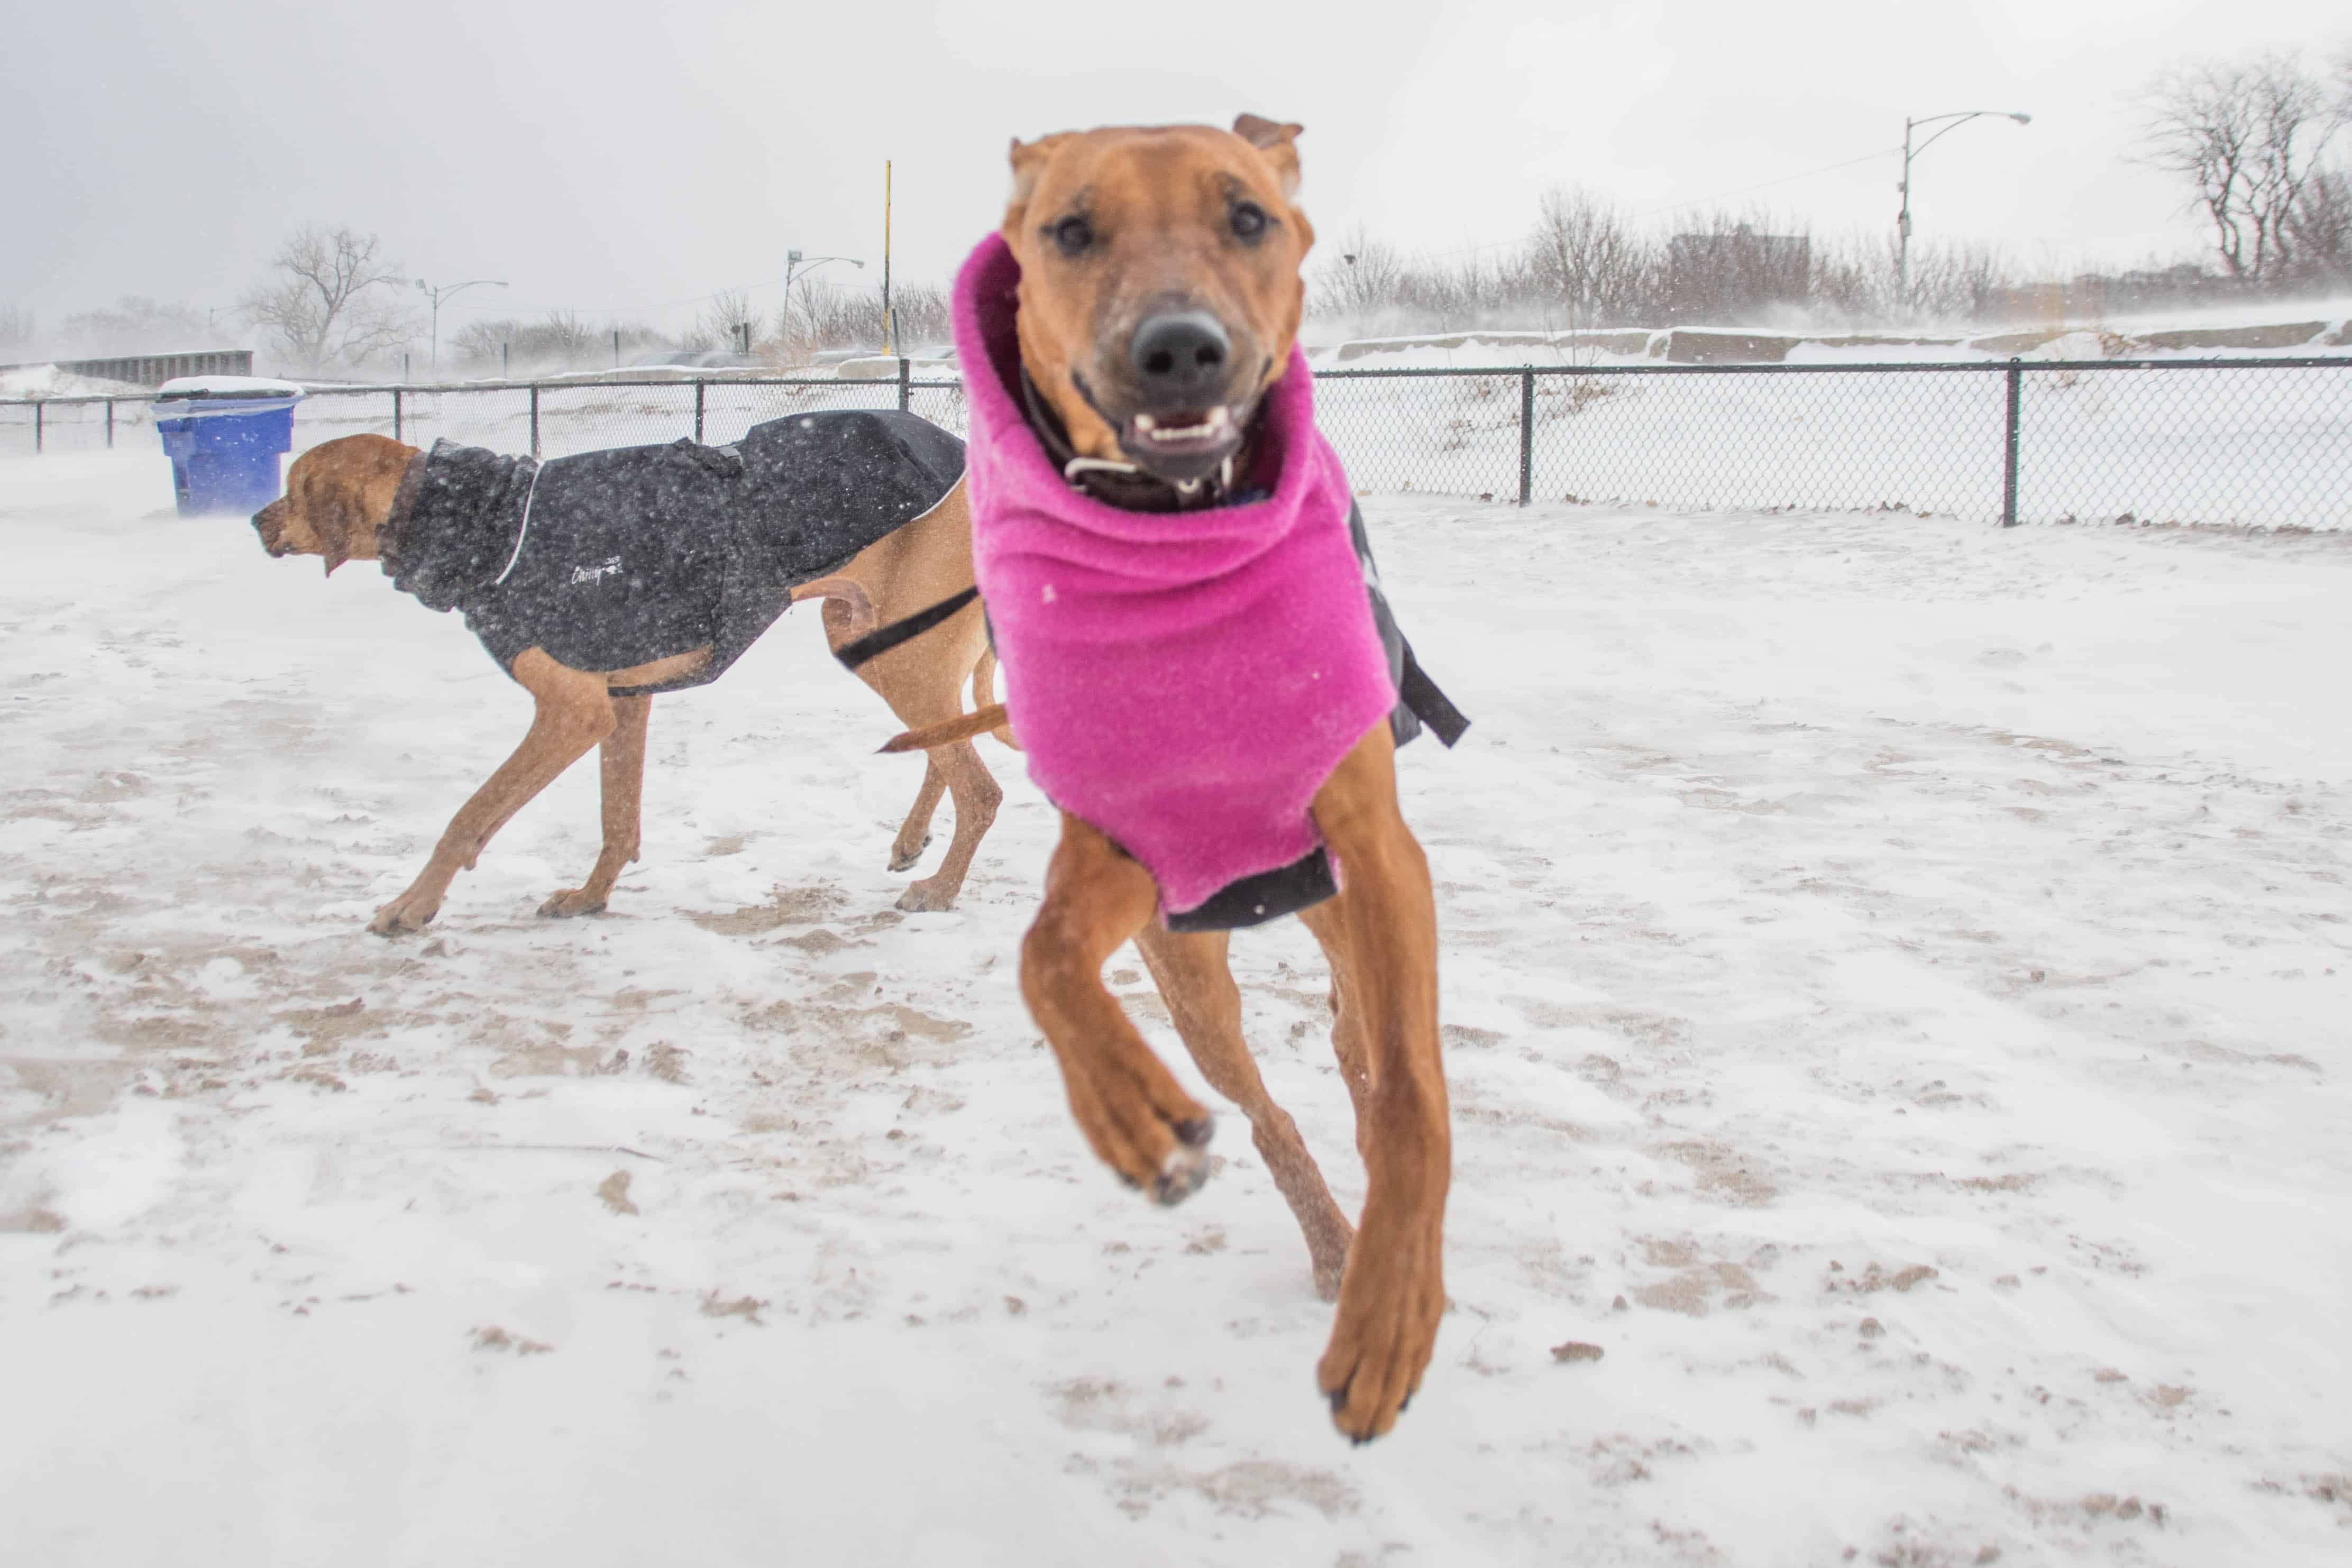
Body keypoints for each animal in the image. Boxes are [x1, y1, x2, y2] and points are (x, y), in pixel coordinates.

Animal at [250, 425, 1002, 931]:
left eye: (292, 489)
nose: (256, 520)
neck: (480, 522)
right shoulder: (625, 698)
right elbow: (618, 819)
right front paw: (590, 896)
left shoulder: (572, 711)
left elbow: (471, 814)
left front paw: (411, 905)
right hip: (868, 638)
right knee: (943, 747)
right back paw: (912, 843)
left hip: (899, 656)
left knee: (981, 790)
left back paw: (940, 889)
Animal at [955, 120, 1449, 1448]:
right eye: (1071, 229)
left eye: (1247, 216)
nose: (1179, 349)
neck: (1180, 536)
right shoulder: (1131, 847)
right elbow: (1045, 956)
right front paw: (1129, 1112)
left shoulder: (1376, 845)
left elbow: (1411, 1098)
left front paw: (1394, 1313)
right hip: (1193, 972)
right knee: (1268, 1105)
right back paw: (1324, 1238)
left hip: (1337, 905)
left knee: (1362, 1040)